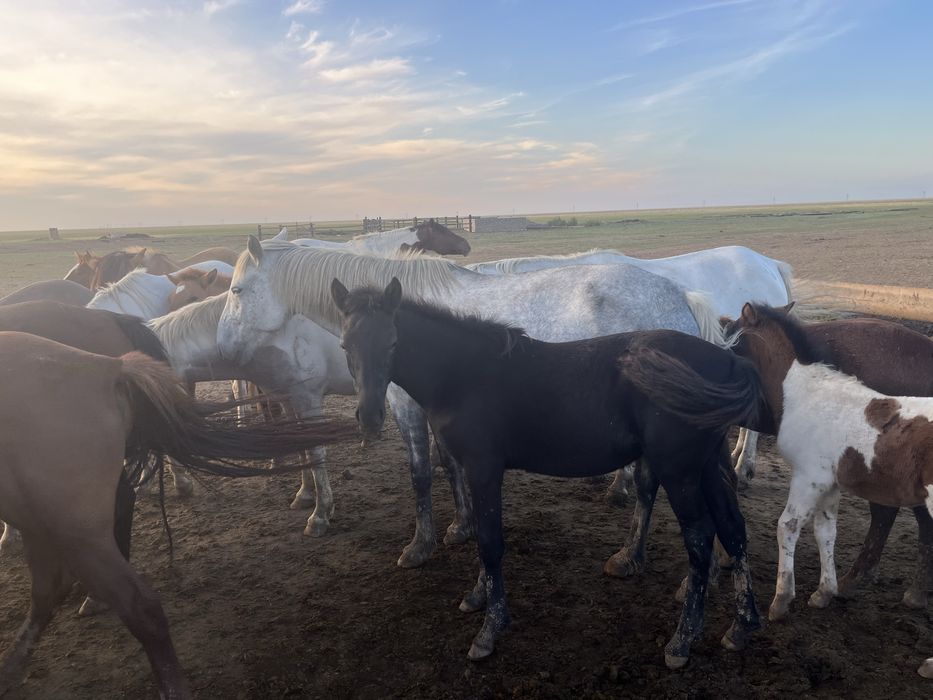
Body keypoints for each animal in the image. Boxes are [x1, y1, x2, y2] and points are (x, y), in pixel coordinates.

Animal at [217, 238, 729, 568]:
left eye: (236, 291)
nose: (224, 350)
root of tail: (681, 296)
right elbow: (450, 466)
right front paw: (460, 527)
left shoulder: (406, 407)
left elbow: (422, 475)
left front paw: (420, 545)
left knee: (652, 486)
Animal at [331, 278, 763, 668]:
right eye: (345, 346)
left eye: (392, 342)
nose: (369, 418)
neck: (463, 373)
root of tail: (727, 360)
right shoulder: (471, 469)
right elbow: (481, 537)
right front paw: (477, 596)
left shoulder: (485, 468)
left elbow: (490, 542)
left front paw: (490, 629)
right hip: (709, 463)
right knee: (732, 527)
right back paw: (741, 626)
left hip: (679, 470)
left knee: (700, 538)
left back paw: (682, 641)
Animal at [622, 302, 933, 678]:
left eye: (730, 341)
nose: (704, 379)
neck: (807, 393)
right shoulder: (827, 482)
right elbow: (825, 531)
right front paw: (823, 592)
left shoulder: (807, 476)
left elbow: (786, 527)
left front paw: (780, 600)